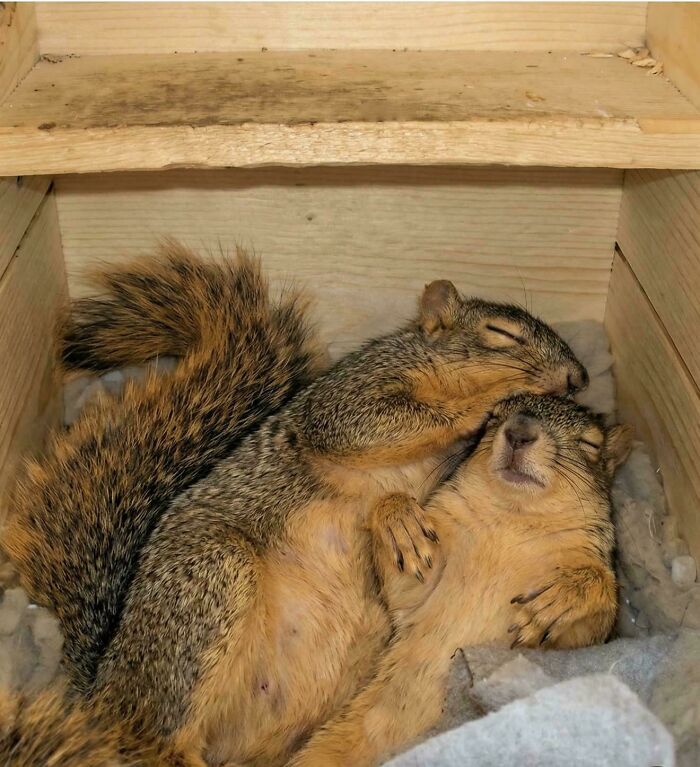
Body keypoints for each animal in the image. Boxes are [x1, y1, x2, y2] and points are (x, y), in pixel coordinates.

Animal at [4, 242, 588, 766]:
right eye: (501, 333)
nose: (578, 379)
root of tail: (103, 688)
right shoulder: (351, 391)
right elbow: (357, 424)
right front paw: (492, 402)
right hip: (207, 582)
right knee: (157, 737)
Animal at [289, 394, 633, 767]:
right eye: (493, 418)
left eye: (590, 444)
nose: (519, 431)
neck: (512, 518)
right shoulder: (425, 580)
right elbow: (405, 590)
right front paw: (400, 521)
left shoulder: (577, 643)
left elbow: (591, 623)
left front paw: (562, 600)